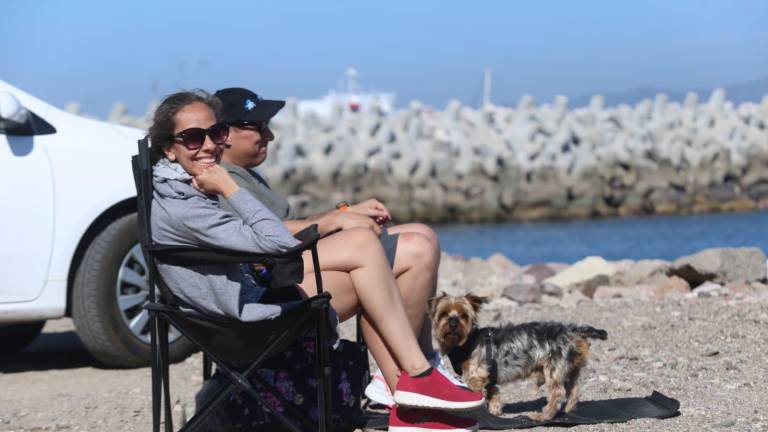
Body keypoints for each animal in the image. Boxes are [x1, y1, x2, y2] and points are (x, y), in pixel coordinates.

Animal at [428, 292, 608, 420]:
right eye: (444, 314)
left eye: (463, 315)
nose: (453, 323)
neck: (466, 341)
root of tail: (571, 330)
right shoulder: (489, 377)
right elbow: (493, 394)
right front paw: (495, 412)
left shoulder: (475, 376)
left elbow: (476, 394)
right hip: (569, 369)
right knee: (574, 390)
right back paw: (569, 411)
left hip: (554, 368)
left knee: (557, 394)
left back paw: (543, 416)